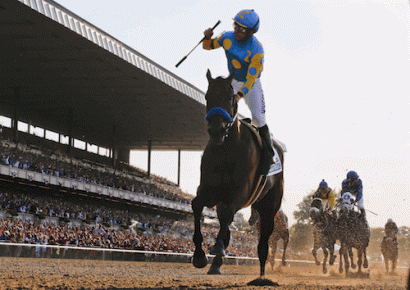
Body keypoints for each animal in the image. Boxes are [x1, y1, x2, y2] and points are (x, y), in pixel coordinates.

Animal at [191, 69, 284, 284]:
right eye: (207, 96)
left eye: (230, 97)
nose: (217, 130)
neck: (226, 149)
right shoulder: (209, 191)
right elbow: (197, 205)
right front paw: (200, 255)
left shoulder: (241, 192)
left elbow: (228, 216)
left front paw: (216, 248)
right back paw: (216, 264)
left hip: (268, 207)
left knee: (263, 242)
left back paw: (262, 277)